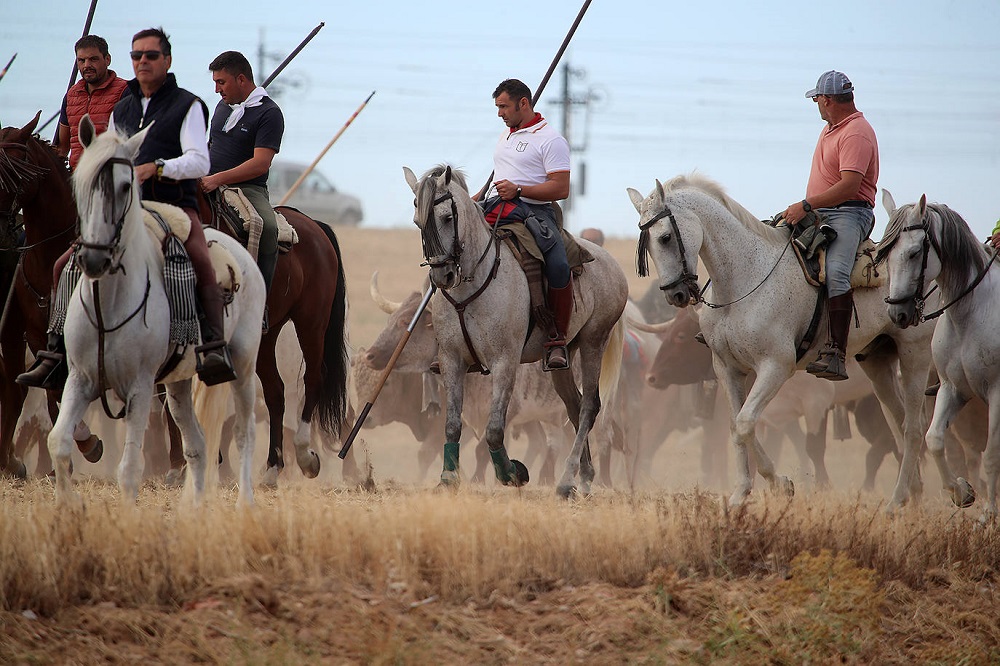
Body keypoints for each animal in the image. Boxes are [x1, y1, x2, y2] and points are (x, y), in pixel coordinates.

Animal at [47, 115, 266, 504]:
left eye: (125, 186)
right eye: (80, 184)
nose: (93, 258)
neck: (109, 304)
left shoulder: (139, 385)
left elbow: (129, 469)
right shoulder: (80, 378)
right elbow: (58, 442)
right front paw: (66, 509)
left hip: (242, 365)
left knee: (244, 435)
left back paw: (245, 504)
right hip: (178, 384)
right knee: (197, 445)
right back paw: (193, 509)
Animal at [404, 163, 624, 496]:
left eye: (447, 218)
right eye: (418, 222)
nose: (443, 276)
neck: (473, 284)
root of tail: (613, 264)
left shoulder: (504, 363)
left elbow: (495, 430)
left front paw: (512, 473)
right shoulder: (451, 361)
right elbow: (452, 424)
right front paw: (448, 478)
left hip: (593, 342)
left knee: (589, 406)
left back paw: (567, 480)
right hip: (563, 356)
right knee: (573, 405)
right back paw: (583, 477)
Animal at [628, 174, 940, 506]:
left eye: (664, 238)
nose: (676, 294)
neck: (745, 279)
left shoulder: (775, 367)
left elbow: (746, 423)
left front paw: (779, 484)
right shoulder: (727, 369)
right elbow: (736, 426)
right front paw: (741, 494)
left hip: (915, 356)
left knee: (914, 427)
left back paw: (904, 498)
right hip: (878, 362)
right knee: (899, 422)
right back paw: (912, 493)